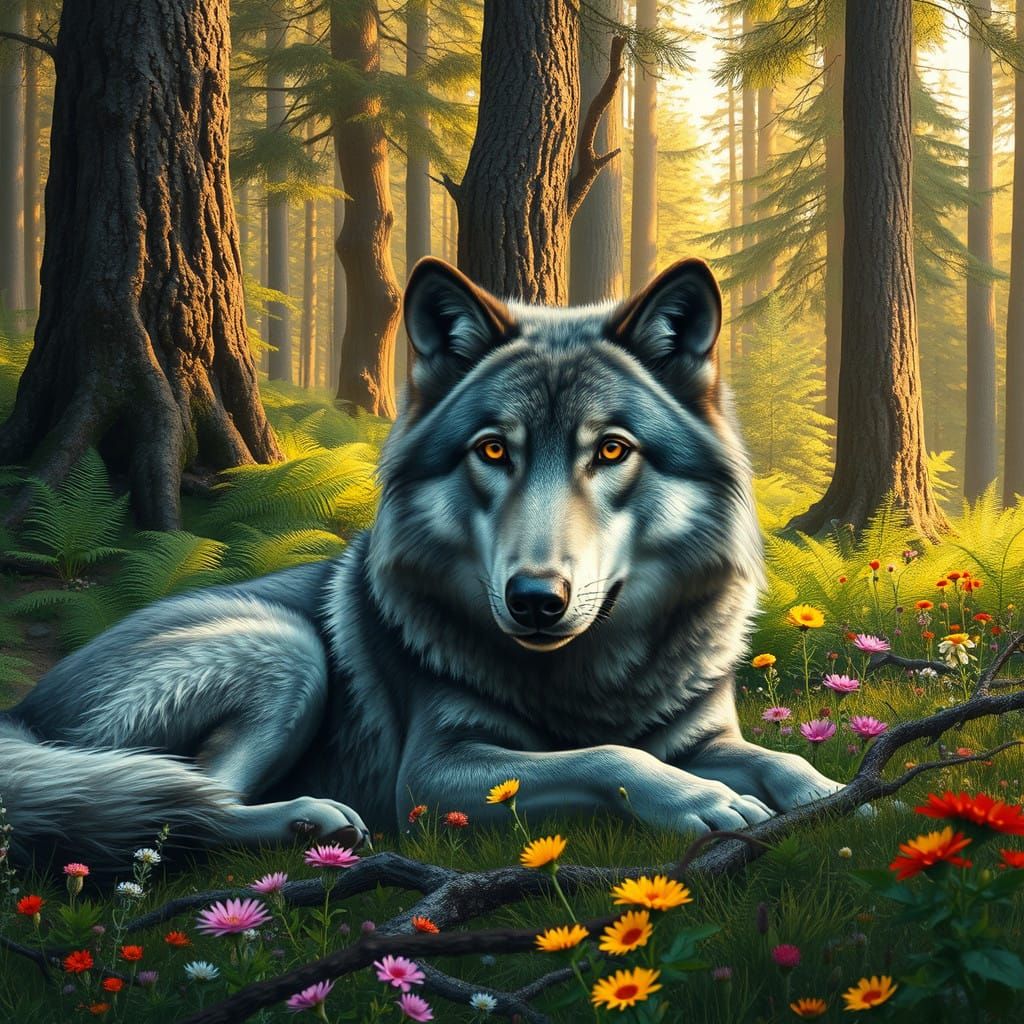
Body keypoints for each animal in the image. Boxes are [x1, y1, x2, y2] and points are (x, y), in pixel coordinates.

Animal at [1, 257, 843, 868]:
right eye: (493, 451)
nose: (535, 598)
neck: (589, 678)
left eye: (611, 451)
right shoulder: (435, 773)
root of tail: (21, 712)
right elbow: (611, 757)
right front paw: (704, 803)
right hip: (288, 651)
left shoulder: (707, 739)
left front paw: (835, 791)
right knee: (184, 807)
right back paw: (309, 822)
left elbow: (781, 763)